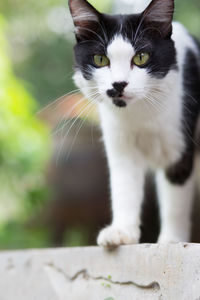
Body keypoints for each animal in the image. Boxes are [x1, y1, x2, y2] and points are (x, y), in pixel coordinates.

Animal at [69, 0, 200, 246]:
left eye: (141, 57)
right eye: (100, 59)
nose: (119, 84)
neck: (140, 114)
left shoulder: (180, 144)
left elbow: (175, 201)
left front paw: (171, 241)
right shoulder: (120, 144)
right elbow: (124, 186)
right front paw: (121, 232)